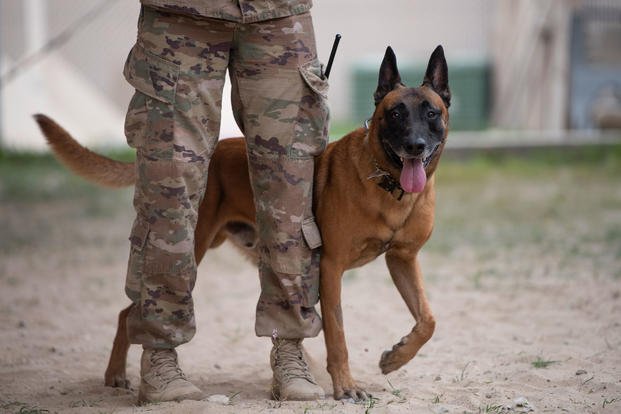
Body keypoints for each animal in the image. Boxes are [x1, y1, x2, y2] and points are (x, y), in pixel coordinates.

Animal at [35, 46, 450, 402]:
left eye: (431, 113)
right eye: (395, 114)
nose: (414, 146)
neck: (389, 186)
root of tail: (212, 151)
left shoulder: (403, 260)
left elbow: (428, 320)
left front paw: (396, 356)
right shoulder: (331, 269)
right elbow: (338, 334)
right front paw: (346, 386)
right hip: (188, 245)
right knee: (132, 310)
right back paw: (117, 374)